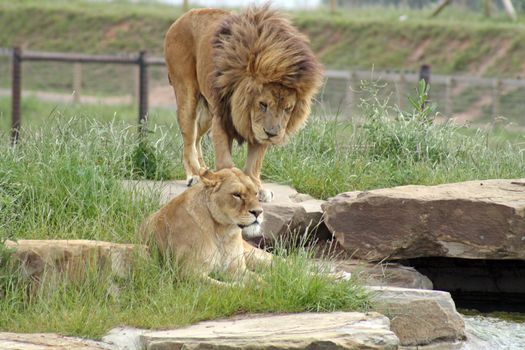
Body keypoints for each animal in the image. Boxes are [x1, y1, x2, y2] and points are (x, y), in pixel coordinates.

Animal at [137, 167, 272, 284]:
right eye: (236, 195)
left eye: (255, 193)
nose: (258, 212)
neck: (224, 232)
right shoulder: (188, 274)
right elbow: (226, 287)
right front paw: (244, 287)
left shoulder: (237, 269)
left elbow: (261, 282)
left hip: (251, 254)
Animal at [164, 4, 322, 202]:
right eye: (263, 104)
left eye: (288, 109)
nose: (272, 134)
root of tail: (183, 16)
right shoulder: (223, 117)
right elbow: (226, 161)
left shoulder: (257, 129)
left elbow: (255, 163)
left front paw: (257, 188)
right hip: (187, 94)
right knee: (189, 139)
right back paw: (194, 174)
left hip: (208, 112)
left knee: (197, 137)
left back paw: (204, 172)